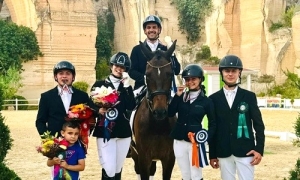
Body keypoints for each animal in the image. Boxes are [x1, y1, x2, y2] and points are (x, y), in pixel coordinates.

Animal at [130, 40, 177, 179]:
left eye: (170, 74)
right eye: (147, 75)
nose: (160, 112)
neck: (157, 124)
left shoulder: (169, 159)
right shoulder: (143, 158)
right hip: (135, 154)